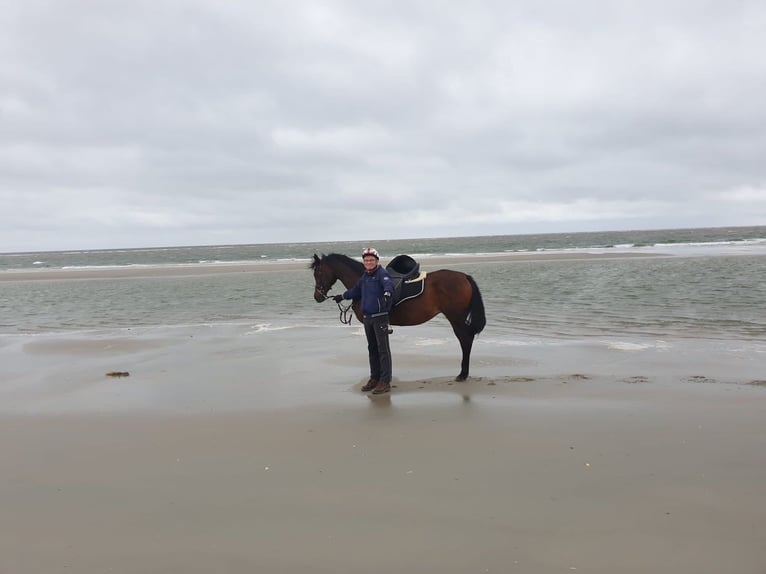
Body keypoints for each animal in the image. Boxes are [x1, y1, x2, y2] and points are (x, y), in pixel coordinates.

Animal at [311, 253, 486, 381]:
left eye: (318, 273)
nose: (317, 296)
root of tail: (464, 276)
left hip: (456, 318)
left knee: (465, 340)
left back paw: (463, 374)